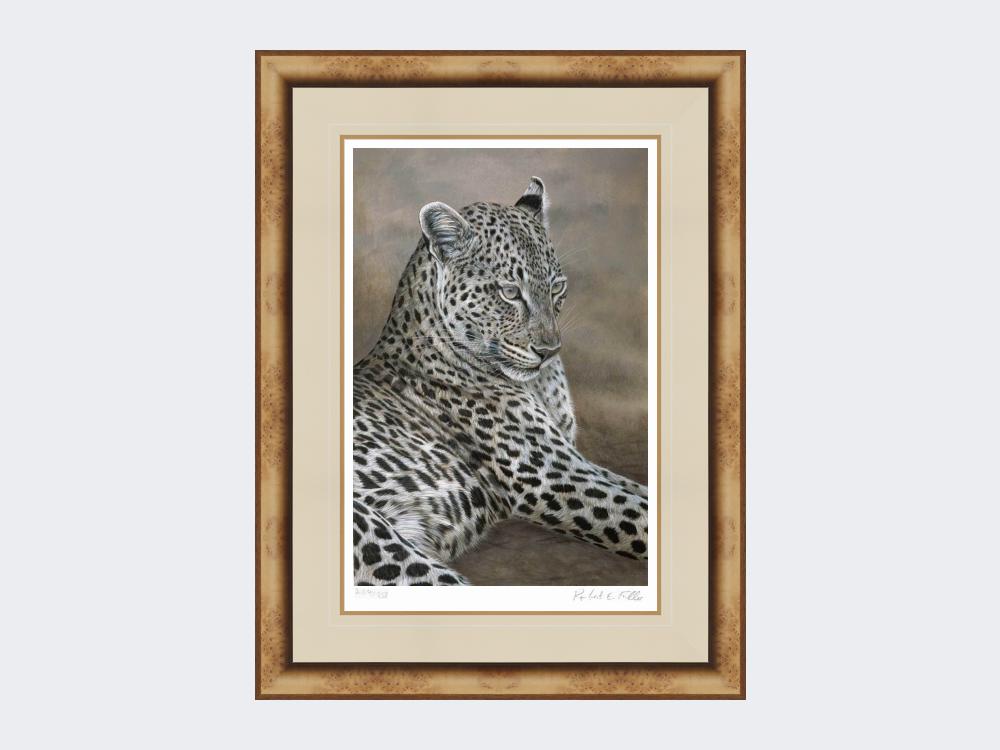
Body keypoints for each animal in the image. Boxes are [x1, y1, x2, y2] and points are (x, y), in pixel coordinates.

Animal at [352, 177, 649, 585]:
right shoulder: (549, 475)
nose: (549, 350)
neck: (539, 384)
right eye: (509, 293)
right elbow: (638, 514)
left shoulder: (572, 459)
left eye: (557, 288)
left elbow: (638, 489)